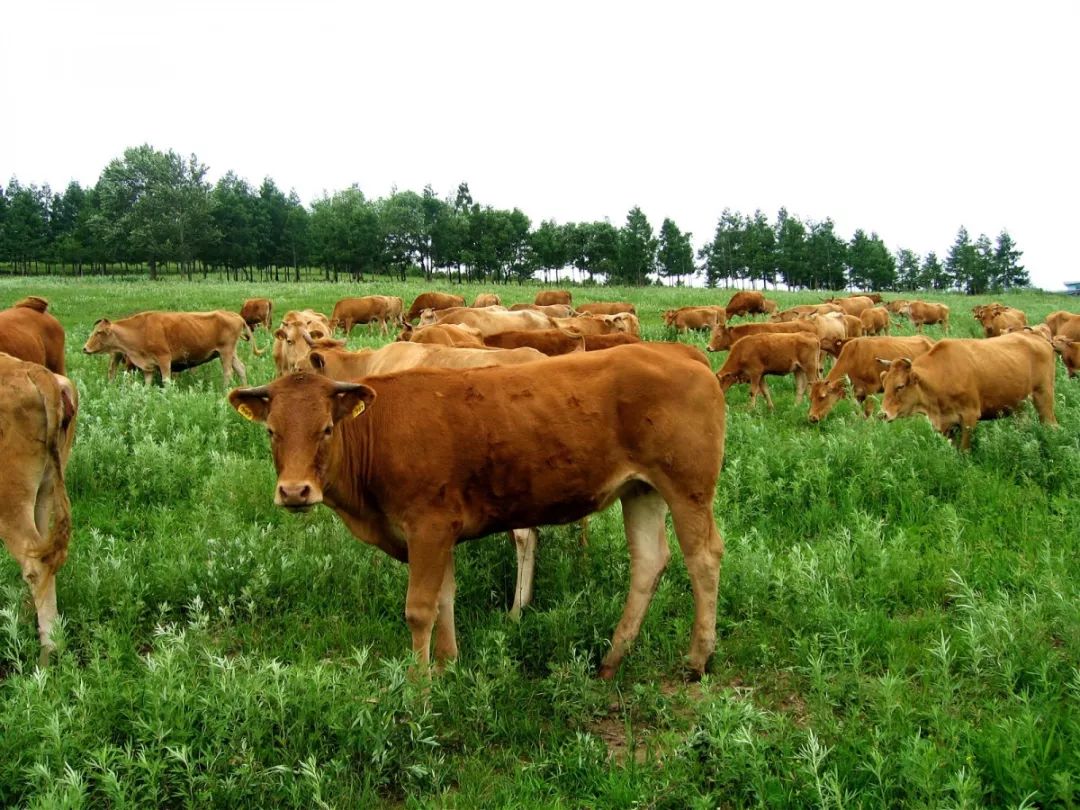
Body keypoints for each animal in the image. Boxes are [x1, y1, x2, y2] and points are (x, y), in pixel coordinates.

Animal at [84, 311, 261, 386]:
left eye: (99, 332)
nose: (85, 348)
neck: (140, 329)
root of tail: (234, 315)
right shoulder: (147, 366)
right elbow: (147, 383)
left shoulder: (164, 360)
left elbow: (166, 382)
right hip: (230, 353)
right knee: (241, 369)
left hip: (226, 352)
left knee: (228, 372)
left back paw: (225, 390)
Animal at [881, 334, 1058, 451]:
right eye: (884, 382)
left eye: (900, 386)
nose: (882, 414)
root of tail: (1038, 338)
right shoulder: (947, 424)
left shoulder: (969, 416)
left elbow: (964, 450)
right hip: (1019, 405)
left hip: (1044, 396)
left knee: (1051, 424)